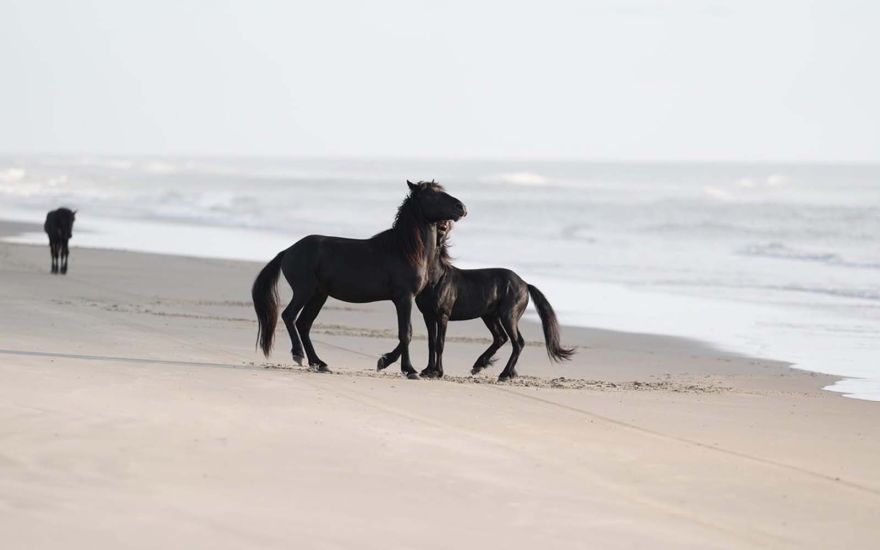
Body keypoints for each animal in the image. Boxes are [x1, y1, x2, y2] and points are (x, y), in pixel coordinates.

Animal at [252, 180, 467, 379]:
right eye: (430, 195)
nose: (462, 208)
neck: (406, 250)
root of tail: (288, 251)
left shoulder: (404, 300)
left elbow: (406, 334)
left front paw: (384, 361)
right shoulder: (404, 298)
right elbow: (406, 334)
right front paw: (409, 370)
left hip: (319, 295)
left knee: (304, 324)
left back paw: (319, 363)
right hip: (304, 291)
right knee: (289, 316)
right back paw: (298, 354)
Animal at [378, 220, 574, 381]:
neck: (436, 279)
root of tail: (525, 284)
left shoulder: (443, 315)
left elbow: (440, 343)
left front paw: (437, 372)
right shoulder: (428, 316)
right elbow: (431, 343)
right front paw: (427, 370)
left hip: (508, 316)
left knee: (517, 342)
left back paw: (504, 374)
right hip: (489, 316)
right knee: (500, 338)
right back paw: (479, 366)